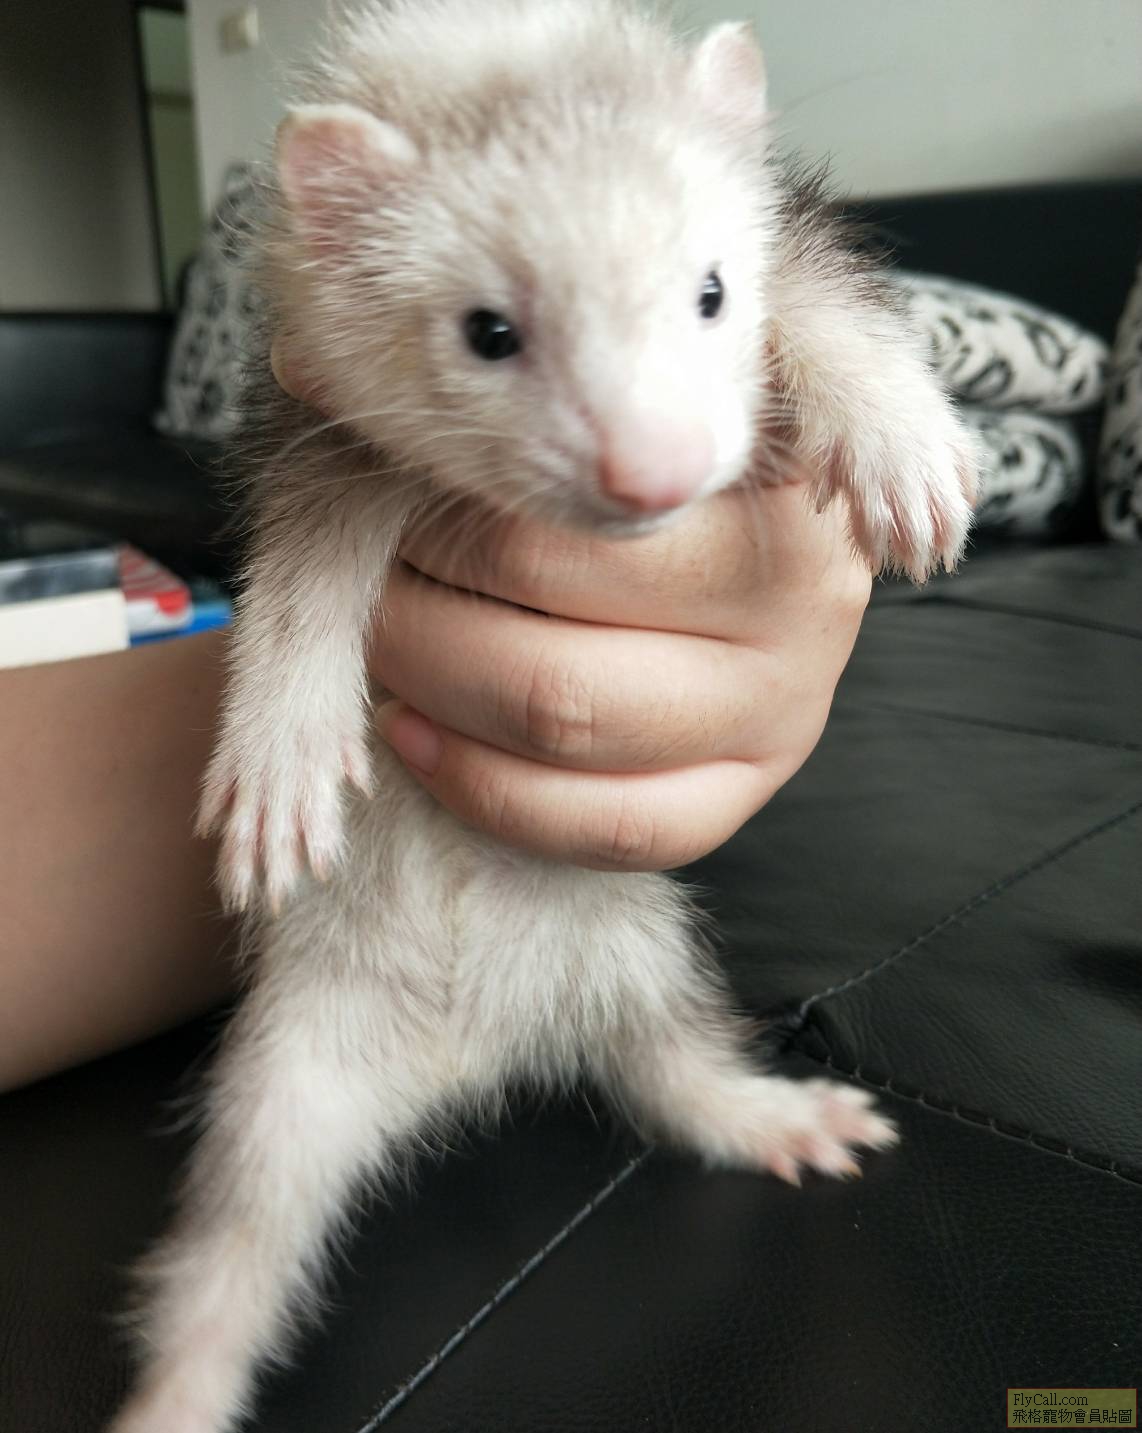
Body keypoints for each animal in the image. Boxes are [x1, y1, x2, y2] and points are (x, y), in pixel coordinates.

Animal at [110, 3, 974, 1430]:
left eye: (710, 288)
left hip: (648, 959)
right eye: (487, 328)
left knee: (679, 1078)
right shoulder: (306, 438)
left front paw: (900, 444)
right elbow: (296, 594)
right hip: (276, 1087)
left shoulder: (791, 237)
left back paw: (779, 1118)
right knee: (231, 1256)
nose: (655, 467)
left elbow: (827, 301)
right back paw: (173, 1394)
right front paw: (281, 761)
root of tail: (465, 1056)